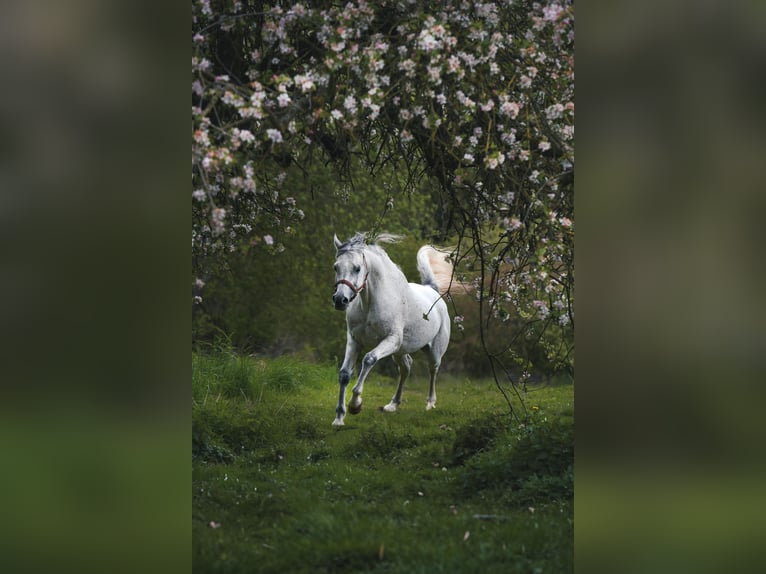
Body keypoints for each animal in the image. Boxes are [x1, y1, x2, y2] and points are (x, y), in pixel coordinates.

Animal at [332, 233, 452, 428]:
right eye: (336, 267)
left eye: (357, 268)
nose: (340, 300)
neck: (370, 302)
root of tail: (432, 291)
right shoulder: (354, 340)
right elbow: (344, 374)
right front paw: (339, 418)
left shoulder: (391, 340)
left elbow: (368, 360)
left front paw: (355, 405)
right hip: (400, 351)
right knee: (406, 368)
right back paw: (392, 405)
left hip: (433, 350)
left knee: (433, 370)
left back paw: (430, 403)